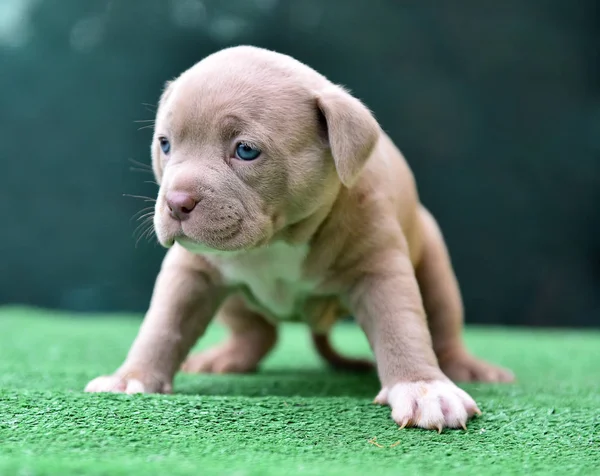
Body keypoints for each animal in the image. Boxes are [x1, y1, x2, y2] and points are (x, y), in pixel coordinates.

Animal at [86, 47, 512, 432]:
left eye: (245, 150)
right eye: (165, 144)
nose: (176, 203)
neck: (279, 239)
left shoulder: (380, 270)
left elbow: (401, 326)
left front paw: (424, 389)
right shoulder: (190, 271)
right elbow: (162, 325)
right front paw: (132, 377)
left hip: (435, 265)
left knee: (443, 325)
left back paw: (467, 367)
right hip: (234, 303)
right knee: (258, 333)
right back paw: (227, 357)